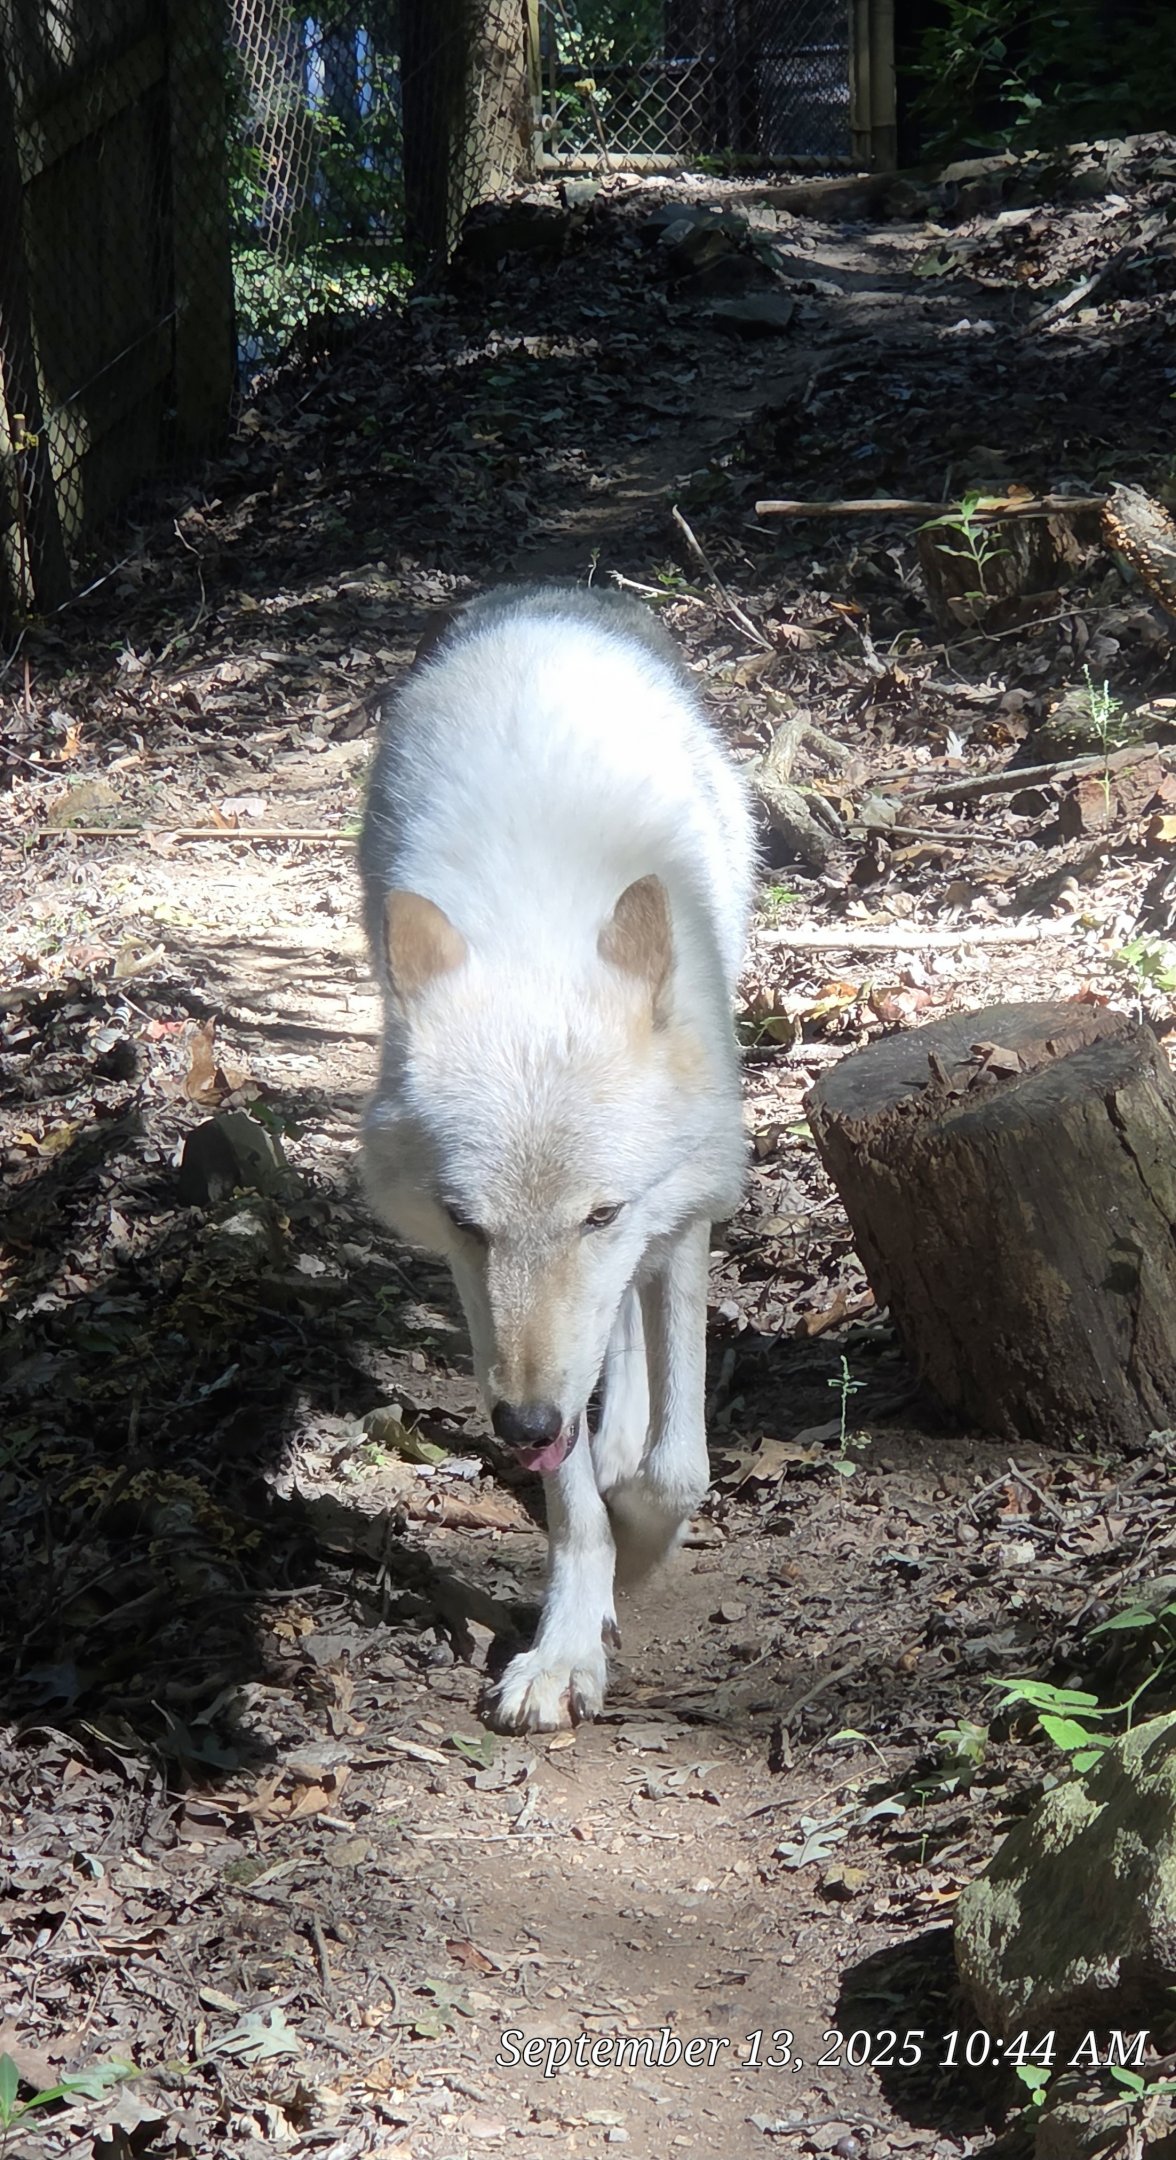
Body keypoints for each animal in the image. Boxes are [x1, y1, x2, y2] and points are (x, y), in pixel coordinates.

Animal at [359, 584, 753, 1732]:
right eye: (466, 1221)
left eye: (600, 1213)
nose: (524, 1418)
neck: (537, 931)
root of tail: (542, 591)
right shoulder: (489, 1305)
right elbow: (572, 1497)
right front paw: (568, 1642)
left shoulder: (673, 1215)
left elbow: (675, 1469)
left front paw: (645, 1545)